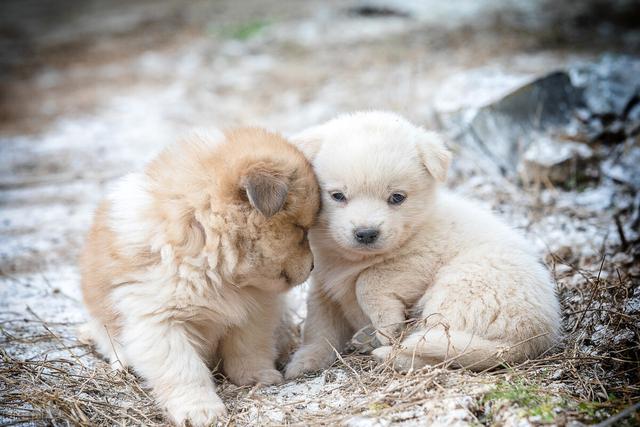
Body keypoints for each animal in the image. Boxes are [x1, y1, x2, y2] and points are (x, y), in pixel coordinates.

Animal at [80, 129, 320, 426]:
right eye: (300, 229)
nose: (313, 266)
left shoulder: (255, 311)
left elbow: (248, 347)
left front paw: (257, 377)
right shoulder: (160, 322)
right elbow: (184, 369)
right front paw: (200, 410)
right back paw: (123, 363)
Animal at [284, 111, 560, 378]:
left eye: (397, 197)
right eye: (337, 196)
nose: (366, 233)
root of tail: (529, 338)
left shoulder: (419, 258)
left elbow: (368, 280)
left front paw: (387, 325)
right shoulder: (324, 287)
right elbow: (319, 327)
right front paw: (304, 362)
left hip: (462, 285)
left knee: (440, 349)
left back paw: (388, 351)